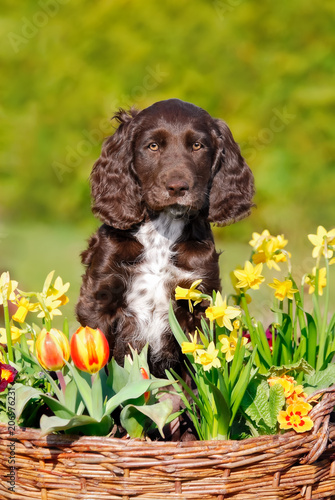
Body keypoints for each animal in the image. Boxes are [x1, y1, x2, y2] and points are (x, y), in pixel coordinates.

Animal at [76, 98, 255, 376]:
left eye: (197, 146)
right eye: (153, 146)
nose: (177, 187)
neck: (163, 231)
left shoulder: (198, 303)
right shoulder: (99, 300)